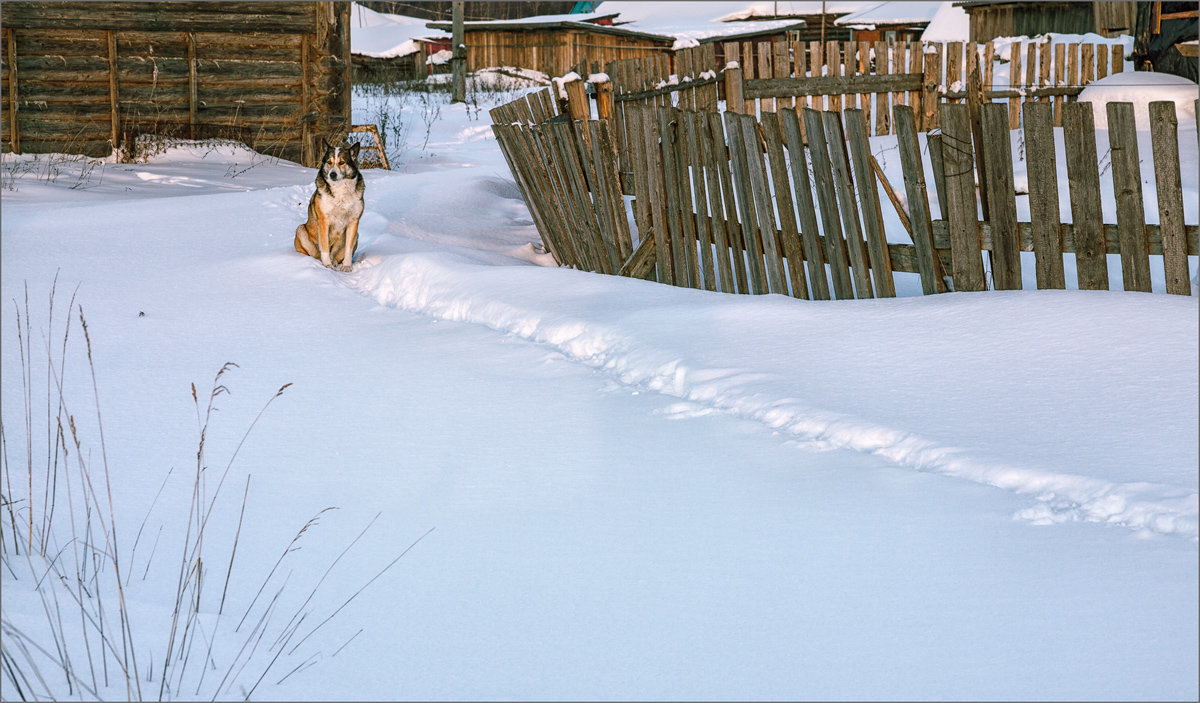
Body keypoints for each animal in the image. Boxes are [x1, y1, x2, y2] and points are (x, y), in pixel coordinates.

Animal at [294, 139, 362, 271]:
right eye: (329, 162)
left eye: (342, 162)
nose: (332, 174)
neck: (340, 189)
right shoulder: (323, 221)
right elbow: (324, 246)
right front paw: (327, 265)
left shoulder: (353, 221)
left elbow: (348, 248)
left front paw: (347, 266)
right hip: (301, 230)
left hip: (357, 234)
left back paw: (335, 261)